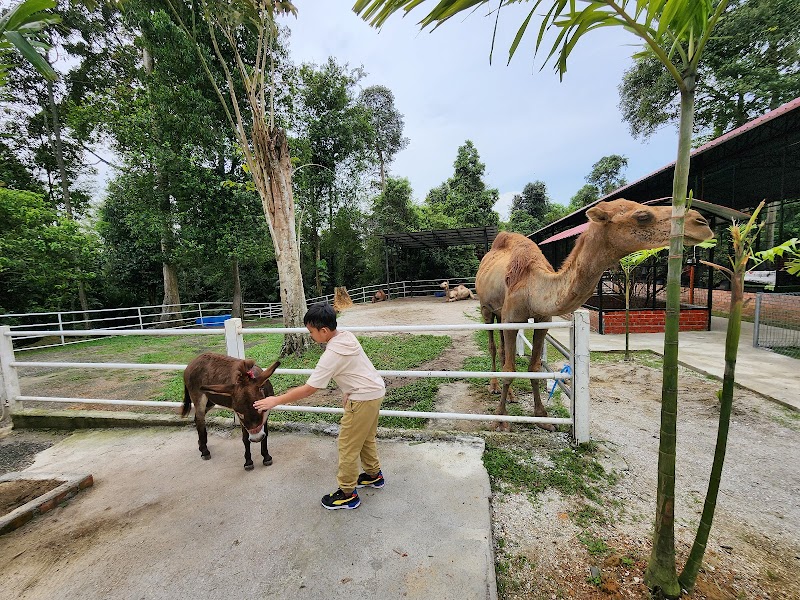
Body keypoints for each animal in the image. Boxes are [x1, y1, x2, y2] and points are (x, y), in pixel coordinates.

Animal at [476, 199, 712, 428]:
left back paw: (512, 396)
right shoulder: (511, 319)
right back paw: (494, 387)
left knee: (503, 350)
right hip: (487, 308)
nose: (701, 223)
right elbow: (510, 370)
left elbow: (533, 368)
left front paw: (543, 417)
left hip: (500, 313)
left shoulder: (543, 320)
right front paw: (500, 419)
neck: (532, 285)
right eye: (643, 216)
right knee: (494, 347)